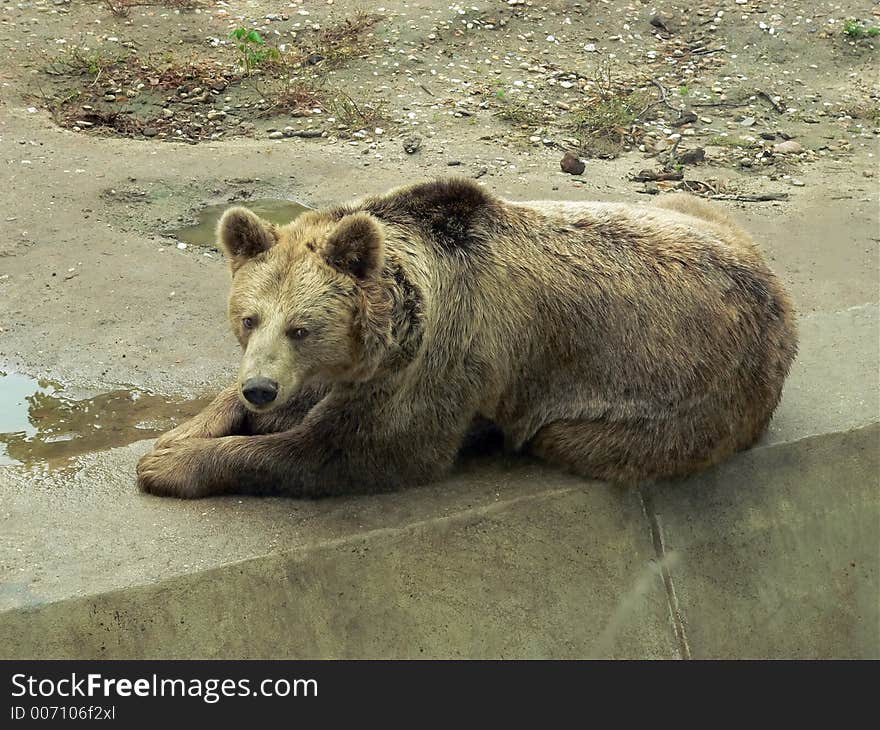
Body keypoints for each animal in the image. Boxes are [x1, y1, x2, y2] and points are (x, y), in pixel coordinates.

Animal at [136, 178, 796, 494]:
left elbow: (356, 450)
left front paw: (168, 463)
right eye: (248, 318)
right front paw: (183, 432)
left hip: (668, 408)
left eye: (303, 327)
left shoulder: (442, 354)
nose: (261, 389)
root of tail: (779, 304)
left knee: (570, 438)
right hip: (695, 211)